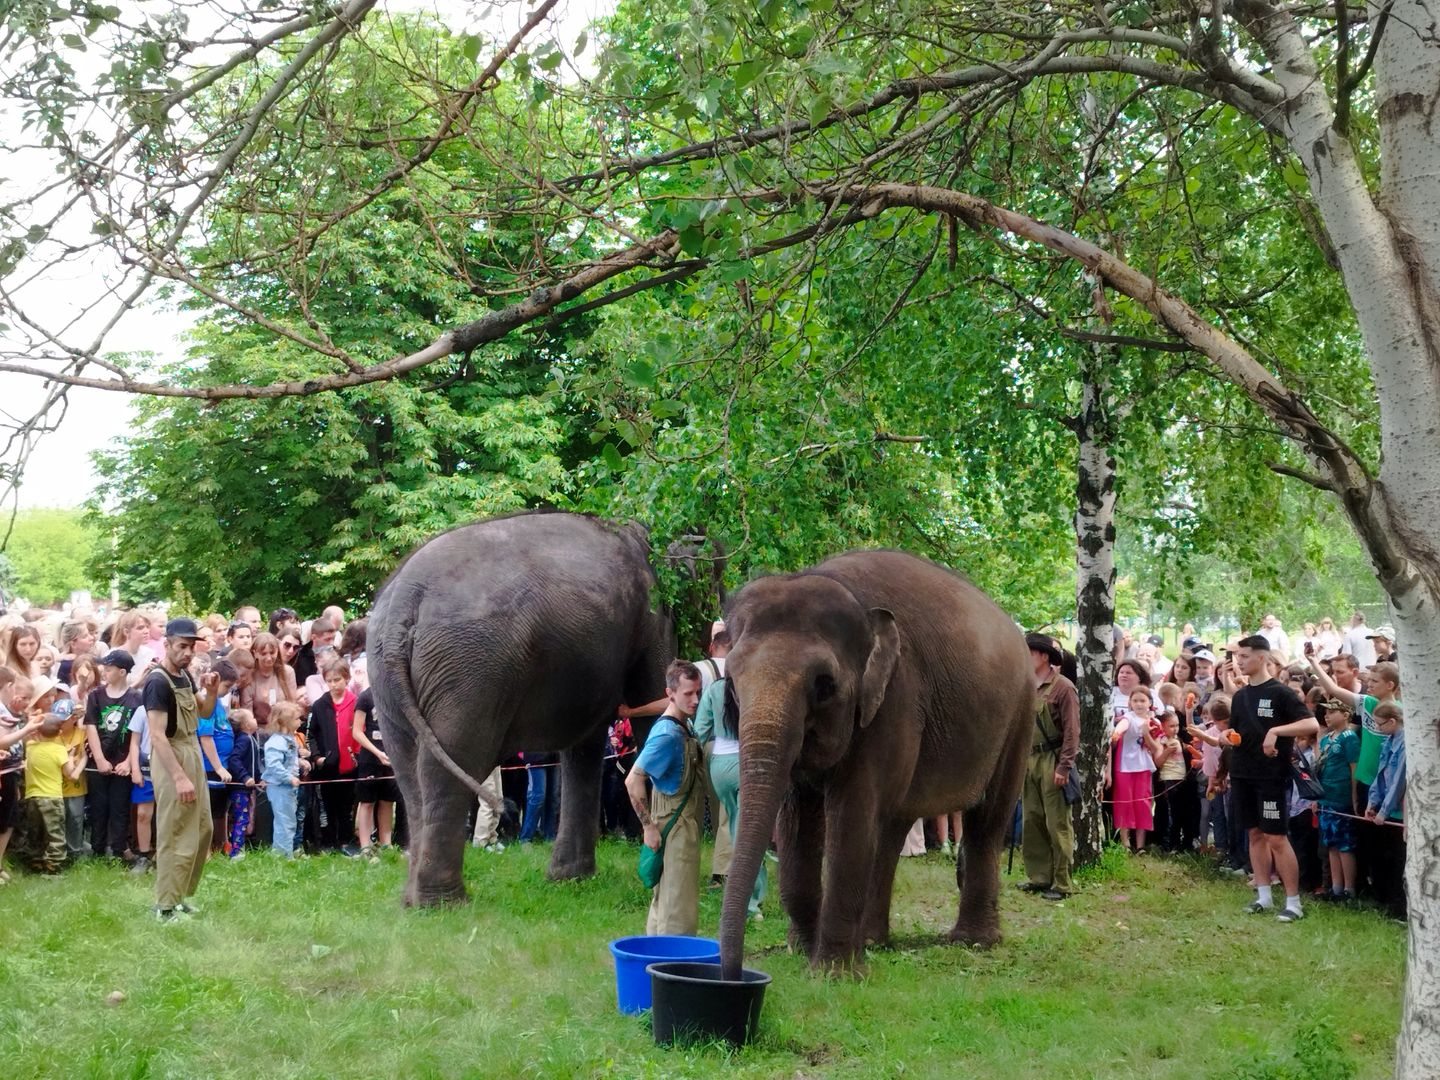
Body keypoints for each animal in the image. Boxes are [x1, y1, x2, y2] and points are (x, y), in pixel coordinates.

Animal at [365, 512, 668, 910]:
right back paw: (445, 904)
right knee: (449, 763)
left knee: (408, 770)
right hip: (469, 670)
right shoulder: (650, 617)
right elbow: (650, 702)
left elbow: (585, 745)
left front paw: (568, 880)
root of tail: (405, 597)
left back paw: (414, 902)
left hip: (393, 675)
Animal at [720, 550, 1036, 979]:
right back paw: (873, 941)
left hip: (1020, 715)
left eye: (824, 686)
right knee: (892, 826)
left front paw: (831, 974)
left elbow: (852, 815)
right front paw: (801, 951)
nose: (731, 974)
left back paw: (973, 942)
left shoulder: (893, 701)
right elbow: (797, 819)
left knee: (987, 821)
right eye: (733, 683)